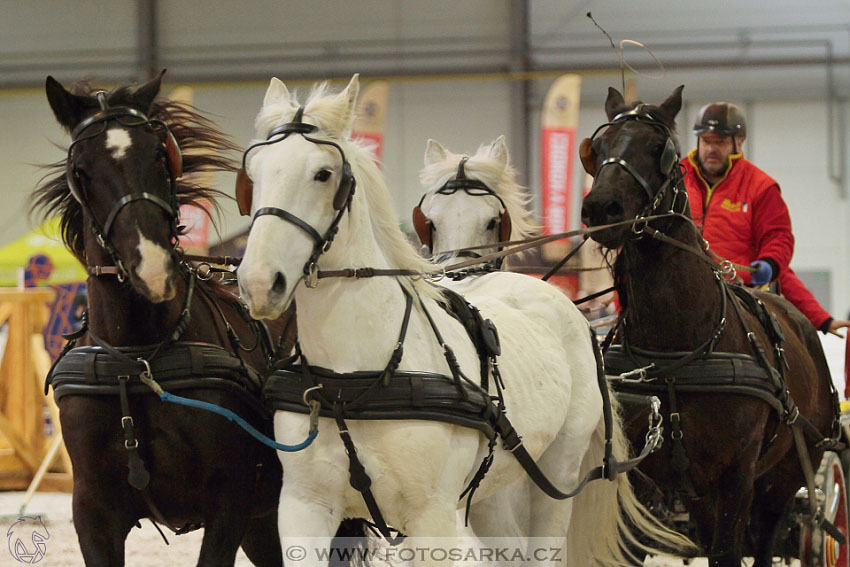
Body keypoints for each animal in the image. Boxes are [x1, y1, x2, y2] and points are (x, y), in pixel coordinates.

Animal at [33, 73, 294, 564]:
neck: (139, 361)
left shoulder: (229, 503)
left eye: (160, 153)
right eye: (81, 170)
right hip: (264, 520)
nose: (152, 268)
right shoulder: (93, 513)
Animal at [237, 75, 688, 567]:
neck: (351, 381)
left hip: (556, 479)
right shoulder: (304, 509)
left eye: (323, 173)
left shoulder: (431, 516)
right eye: (253, 174)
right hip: (493, 490)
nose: (259, 282)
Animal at [576, 85, 840, 567]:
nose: (601, 207)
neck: (678, 353)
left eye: (659, 149)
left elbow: (727, 552)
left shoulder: (737, 472)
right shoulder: (645, 475)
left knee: (767, 537)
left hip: (788, 471)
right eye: (598, 148)